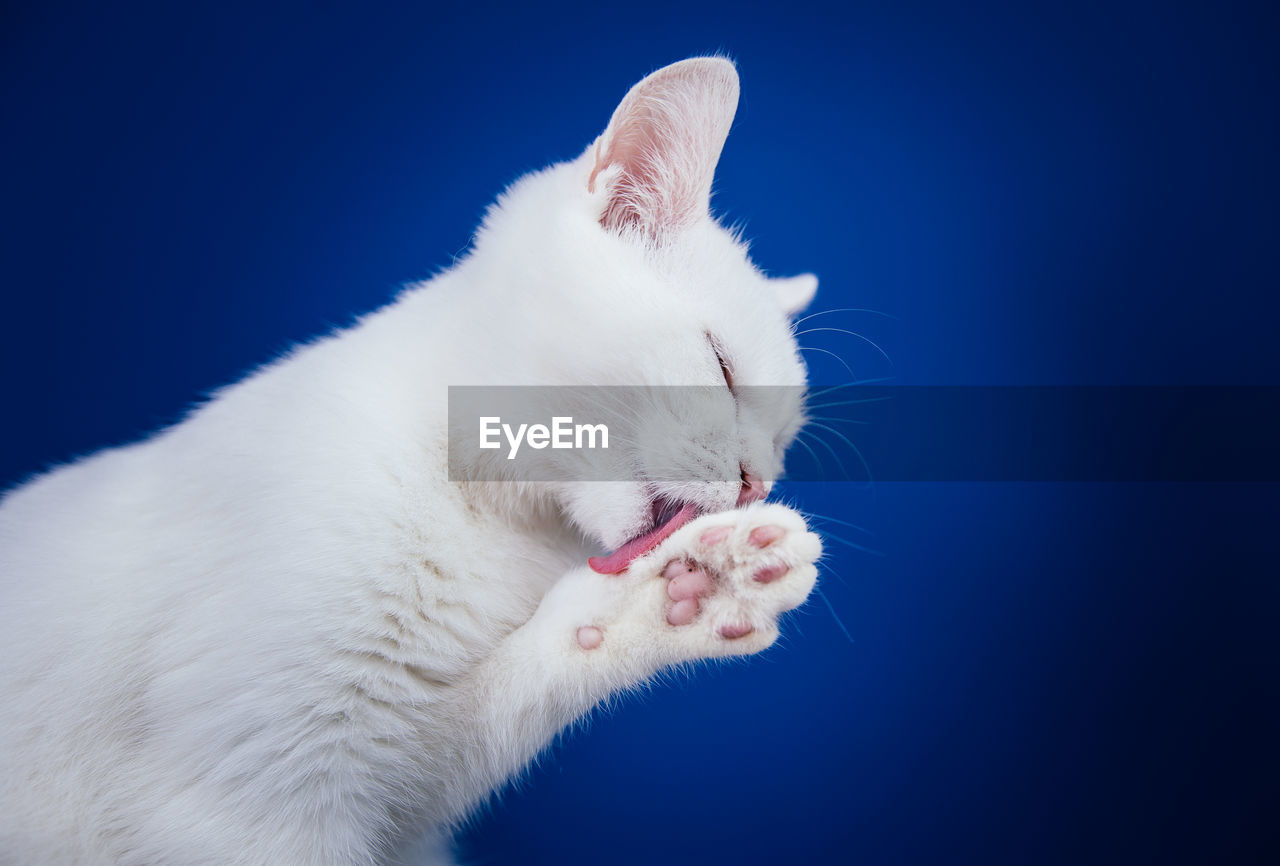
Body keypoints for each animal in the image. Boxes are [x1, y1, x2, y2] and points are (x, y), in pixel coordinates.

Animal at [0, 57, 819, 859]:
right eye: (721, 370)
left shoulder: (380, 784)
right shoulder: (248, 802)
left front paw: (693, 588)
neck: (486, 522)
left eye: (783, 443)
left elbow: (496, 713)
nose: (757, 482)